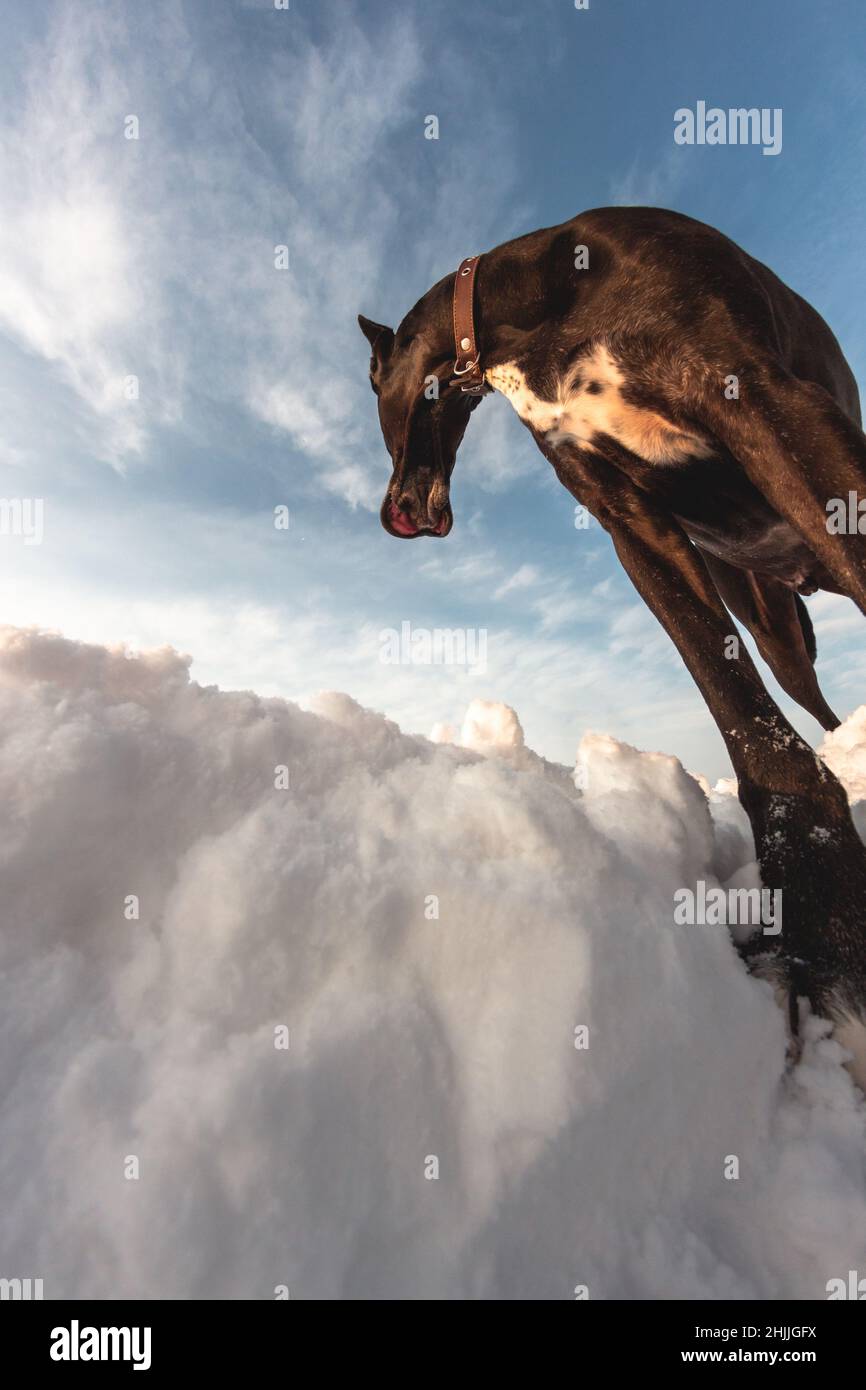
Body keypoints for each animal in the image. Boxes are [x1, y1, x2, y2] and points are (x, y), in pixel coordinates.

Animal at [361, 201, 866, 1078]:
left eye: (368, 390)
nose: (392, 513)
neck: (527, 320)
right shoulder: (629, 520)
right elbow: (736, 705)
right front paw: (816, 921)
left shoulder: (768, 401)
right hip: (768, 612)